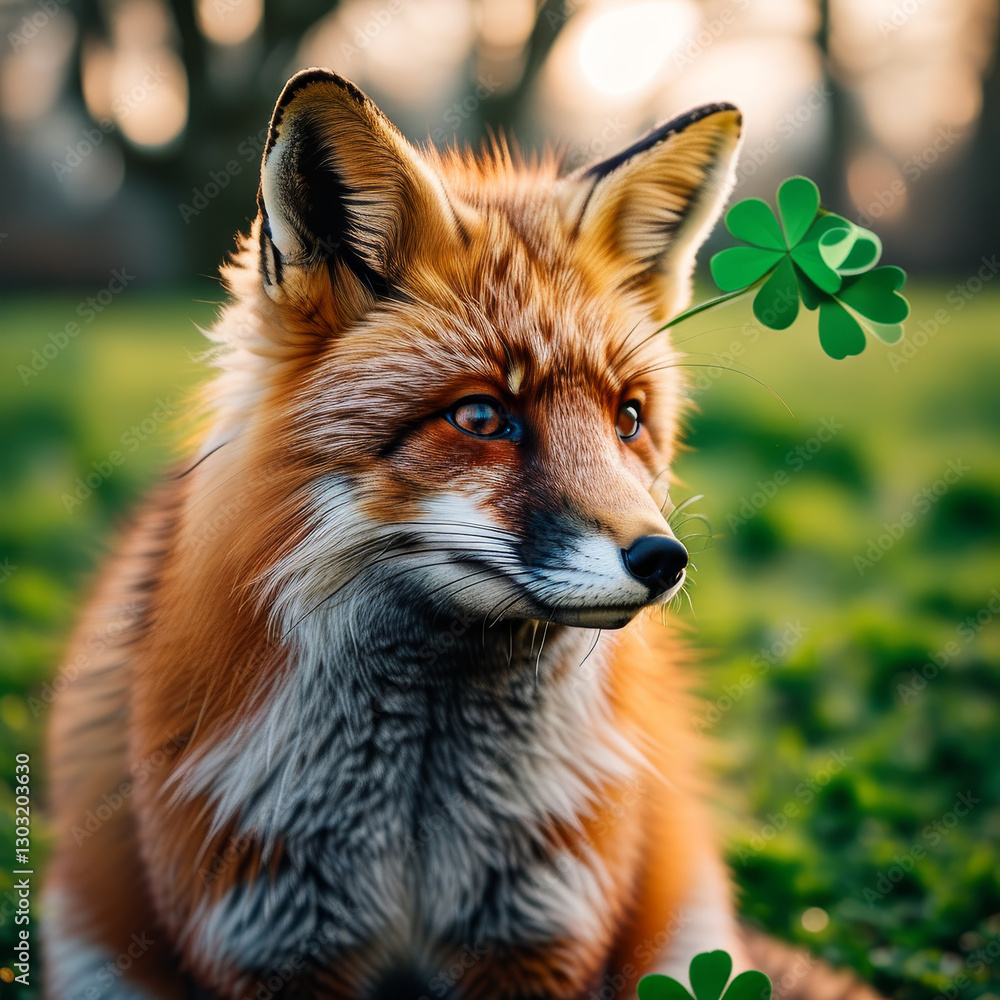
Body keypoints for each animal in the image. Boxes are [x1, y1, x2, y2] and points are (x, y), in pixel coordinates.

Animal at [43, 69, 883, 1000]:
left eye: (627, 419)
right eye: (482, 417)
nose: (664, 561)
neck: (419, 812)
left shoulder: (538, 934)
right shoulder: (270, 940)